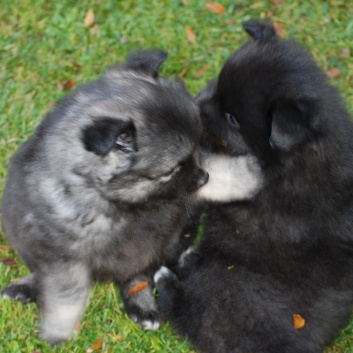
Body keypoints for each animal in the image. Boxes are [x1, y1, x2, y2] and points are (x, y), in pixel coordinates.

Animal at [2, 50, 262, 344]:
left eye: (197, 148)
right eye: (173, 169)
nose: (202, 178)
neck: (119, 204)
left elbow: (218, 170)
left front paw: (245, 175)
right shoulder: (61, 250)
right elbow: (66, 284)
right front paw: (60, 322)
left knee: (138, 275)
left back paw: (142, 305)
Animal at [154, 20, 353, 352]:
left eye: (233, 118)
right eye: (218, 86)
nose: (194, 104)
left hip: (226, 284)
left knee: (189, 311)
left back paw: (168, 280)